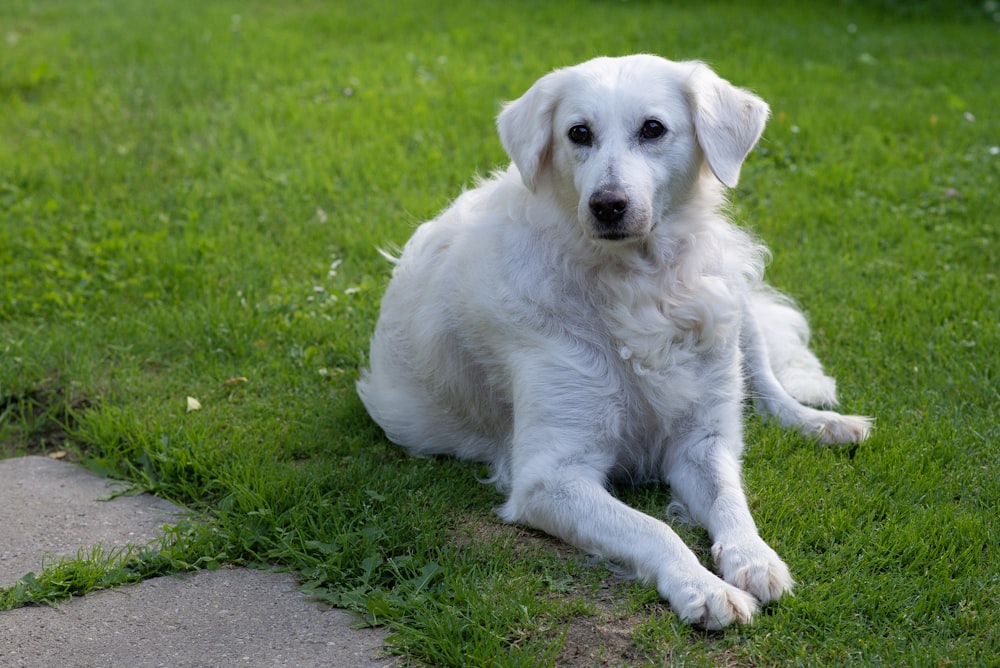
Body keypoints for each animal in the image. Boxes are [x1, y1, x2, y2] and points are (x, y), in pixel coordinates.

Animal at [358, 54, 868, 628]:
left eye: (653, 129)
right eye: (578, 133)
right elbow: (657, 528)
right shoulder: (549, 478)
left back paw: (824, 424)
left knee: (770, 388)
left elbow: (731, 501)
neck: (639, 285)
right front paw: (704, 588)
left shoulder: (701, 439)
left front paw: (753, 557)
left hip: (733, 303)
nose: (608, 205)